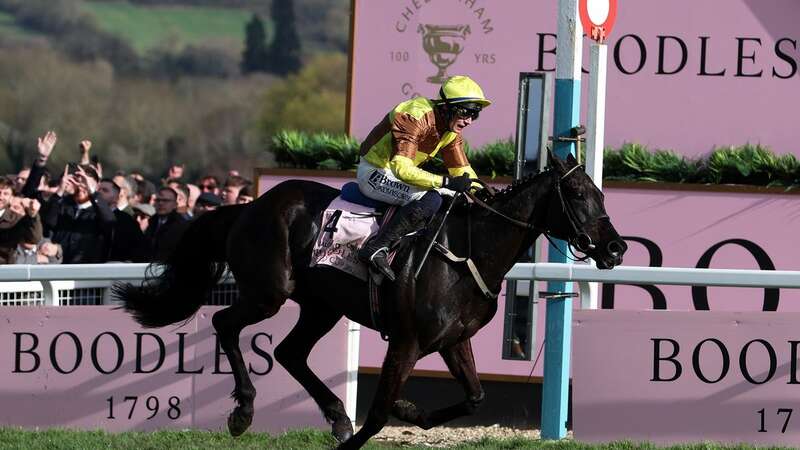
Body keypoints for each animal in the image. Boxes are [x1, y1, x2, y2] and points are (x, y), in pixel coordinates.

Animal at [114, 153, 624, 448]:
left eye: (601, 193)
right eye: (577, 192)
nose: (616, 248)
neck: (467, 251)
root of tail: (249, 206)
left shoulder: (453, 339)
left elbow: (475, 397)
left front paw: (411, 411)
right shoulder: (407, 340)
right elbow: (377, 415)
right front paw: (390, 414)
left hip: (321, 306)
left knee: (289, 351)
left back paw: (337, 417)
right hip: (269, 292)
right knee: (225, 324)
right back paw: (243, 411)